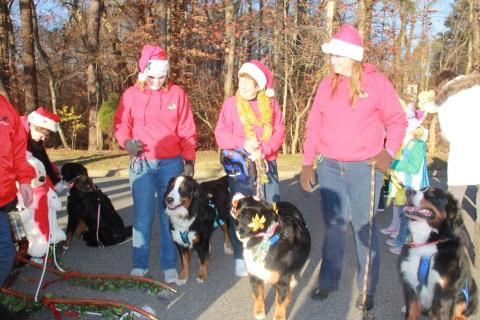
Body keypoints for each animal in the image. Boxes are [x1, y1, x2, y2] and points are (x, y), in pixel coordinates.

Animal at [230, 192, 312, 320]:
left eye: (241, 201)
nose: (237, 193)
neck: (262, 241)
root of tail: (284, 202)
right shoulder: (254, 276)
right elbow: (258, 295)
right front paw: (259, 312)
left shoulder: (282, 283)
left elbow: (280, 303)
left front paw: (279, 316)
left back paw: (293, 280)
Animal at [400, 186, 478, 318]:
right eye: (421, 189)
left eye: (432, 194)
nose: (408, 191)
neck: (428, 243)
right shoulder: (410, 285)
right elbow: (411, 313)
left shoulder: (444, 295)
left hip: (471, 290)